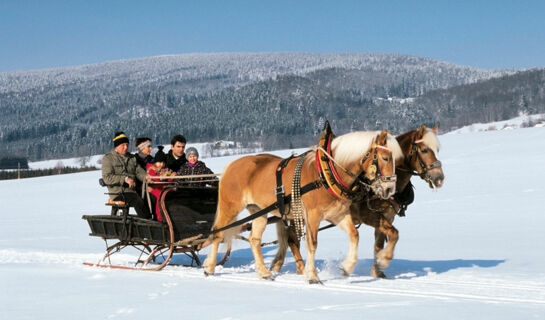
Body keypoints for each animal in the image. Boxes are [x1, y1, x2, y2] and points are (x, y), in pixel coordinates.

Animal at [202, 124, 402, 284]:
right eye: (385, 158)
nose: (390, 189)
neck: (327, 174)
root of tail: (231, 165)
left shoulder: (338, 214)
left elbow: (354, 235)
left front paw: (346, 267)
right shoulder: (312, 215)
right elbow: (312, 244)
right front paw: (312, 276)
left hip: (258, 210)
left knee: (254, 240)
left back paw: (264, 272)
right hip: (230, 207)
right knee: (218, 233)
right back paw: (209, 267)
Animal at [280, 124, 442, 278]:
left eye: (437, 150)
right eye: (424, 150)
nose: (439, 178)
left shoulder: (387, 217)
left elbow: (381, 242)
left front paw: (379, 270)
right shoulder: (369, 216)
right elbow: (394, 234)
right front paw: (384, 259)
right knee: (292, 239)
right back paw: (299, 268)